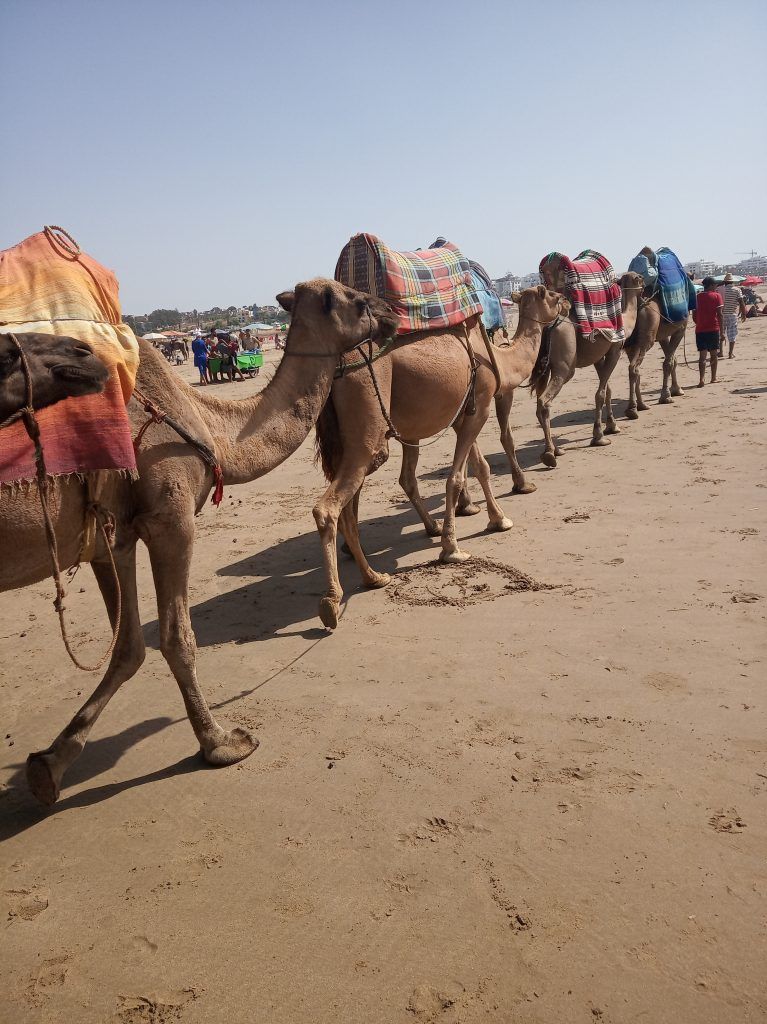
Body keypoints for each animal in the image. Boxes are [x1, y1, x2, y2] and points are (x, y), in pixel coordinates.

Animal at [0, 278, 395, 798]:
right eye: (357, 299)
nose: (392, 312)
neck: (208, 423)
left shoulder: (112, 537)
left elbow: (128, 647)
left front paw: (51, 763)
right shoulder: (172, 520)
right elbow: (176, 637)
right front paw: (221, 742)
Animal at [307, 284, 561, 626]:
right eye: (554, 296)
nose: (568, 301)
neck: (496, 357)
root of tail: (336, 371)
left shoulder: (465, 414)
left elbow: (480, 467)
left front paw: (498, 519)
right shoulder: (480, 406)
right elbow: (456, 477)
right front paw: (452, 548)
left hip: (352, 442)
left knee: (360, 501)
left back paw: (375, 575)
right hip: (366, 433)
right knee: (331, 507)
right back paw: (333, 602)